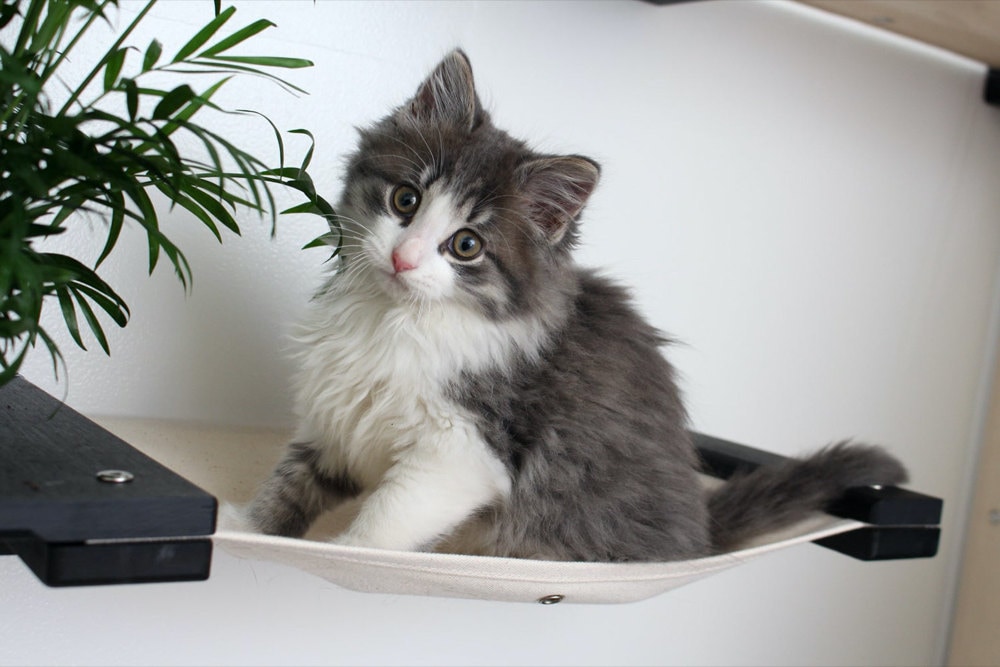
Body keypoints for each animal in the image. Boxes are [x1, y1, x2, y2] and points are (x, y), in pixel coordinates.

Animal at [246, 49, 912, 564]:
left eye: (466, 245)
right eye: (405, 200)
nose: (404, 259)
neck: (393, 319)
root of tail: (697, 531)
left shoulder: (461, 452)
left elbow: (386, 517)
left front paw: (345, 550)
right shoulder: (334, 422)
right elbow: (288, 485)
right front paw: (249, 529)